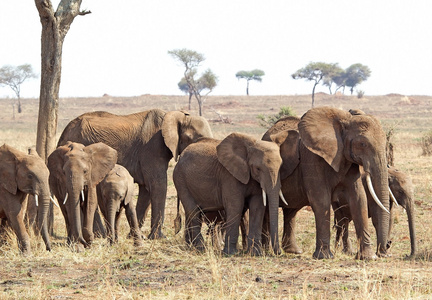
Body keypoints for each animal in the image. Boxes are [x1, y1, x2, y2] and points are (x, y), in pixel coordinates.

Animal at [57, 109, 213, 238]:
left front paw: (135, 236)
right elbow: (158, 186)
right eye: (191, 137)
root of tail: (63, 134)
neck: (178, 115)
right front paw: (158, 238)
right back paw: (100, 236)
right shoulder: (152, 147)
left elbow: (146, 191)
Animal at [262, 106, 390, 258]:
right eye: (362, 144)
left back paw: (293, 251)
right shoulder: (311, 157)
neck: (345, 120)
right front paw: (324, 256)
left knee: (291, 211)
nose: (384, 251)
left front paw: (367, 257)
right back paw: (264, 250)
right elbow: (320, 199)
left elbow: (359, 199)